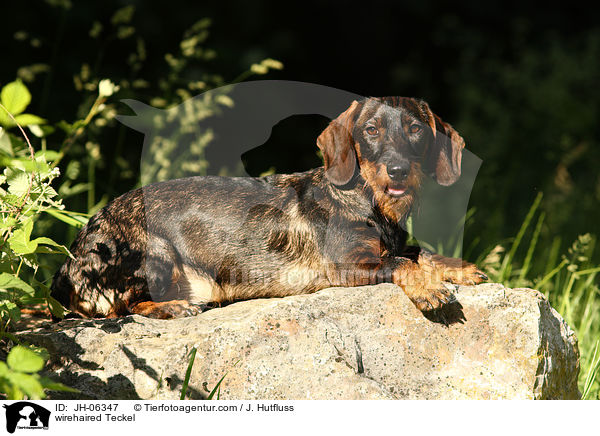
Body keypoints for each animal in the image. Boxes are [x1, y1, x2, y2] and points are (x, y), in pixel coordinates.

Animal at [51, 97, 488, 318]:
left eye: (415, 129)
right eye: (371, 130)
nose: (397, 171)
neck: (372, 205)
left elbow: (419, 253)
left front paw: (459, 268)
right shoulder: (347, 265)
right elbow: (402, 263)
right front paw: (429, 288)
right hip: (155, 253)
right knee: (122, 307)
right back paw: (175, 306)